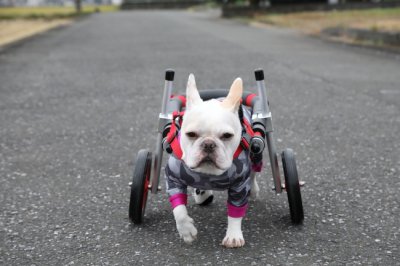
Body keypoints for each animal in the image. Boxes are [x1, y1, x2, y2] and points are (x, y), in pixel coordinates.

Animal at [165, 74, 260, 248]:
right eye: (191, 134)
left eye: (227, 135)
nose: (208, 144)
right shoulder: (173, 179)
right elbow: (179, 210)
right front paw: (187, 231)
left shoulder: (239, 186)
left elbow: (235, 211)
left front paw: (233, 235)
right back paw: (202, 193)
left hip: (257, 152)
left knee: (254, 172)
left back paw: (253, 188)